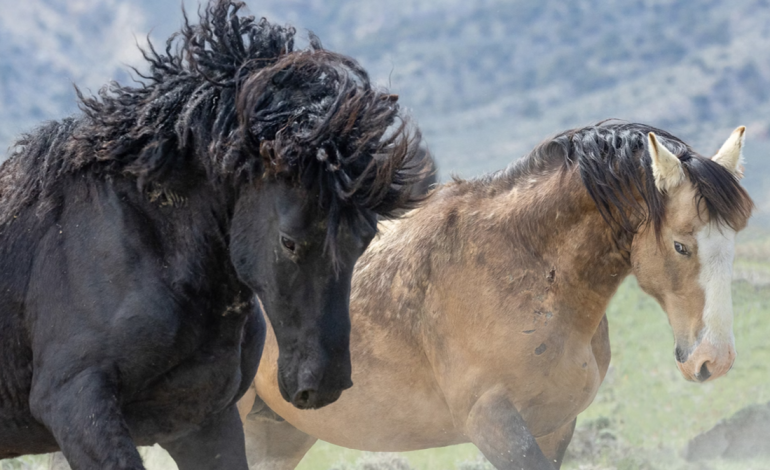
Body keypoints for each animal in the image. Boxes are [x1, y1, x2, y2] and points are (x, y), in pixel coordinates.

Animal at [240, 124, 752, 470]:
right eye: (681, 245)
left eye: (733, 242)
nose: (715, 359)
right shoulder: (493, 423)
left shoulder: (555, 426)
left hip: (276, 431)